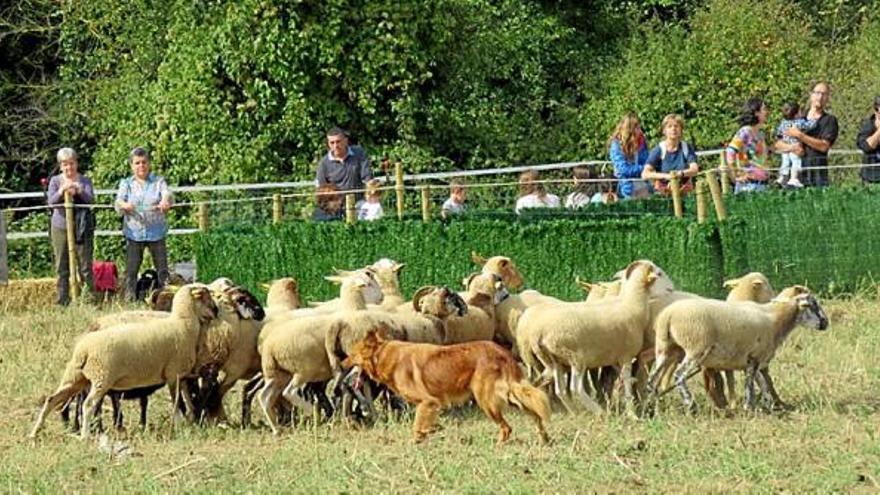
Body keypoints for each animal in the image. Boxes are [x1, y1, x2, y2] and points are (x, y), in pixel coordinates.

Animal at [31, 284, 218, 440]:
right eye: (205, 297)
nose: (216, 311)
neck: (182, 323)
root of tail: (84, 349)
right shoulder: (174, 373)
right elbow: (177, 402)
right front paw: (180, 426)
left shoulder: (180, 375)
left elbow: (184, 400)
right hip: (102, 377)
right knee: (88, 404)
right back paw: (85, 436)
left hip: (75, 376)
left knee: (52, 399)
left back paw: (35, 432)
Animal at [344, 332, 552, 444]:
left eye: (352, 354)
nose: (342, 363)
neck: (384, 355)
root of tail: (502, 351)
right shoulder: (432, 405)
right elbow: (428, 425)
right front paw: (433, 430)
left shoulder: (427, 402)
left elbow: (417, 426)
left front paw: (416, 441)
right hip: (509, 396)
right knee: (535, 414)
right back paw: (544, 439)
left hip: (486, 400)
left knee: (507, 427)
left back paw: (499, 445)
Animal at [516, 262, 668, 416]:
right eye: (659, 274)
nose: (671, 287)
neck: (631, 304)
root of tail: (538, 334)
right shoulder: (626, 355)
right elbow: (626, 382)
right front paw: (632, 413)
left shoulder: (615, 360)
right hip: (575, 357)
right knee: (575, 388)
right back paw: (599, 411)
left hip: (554, 360)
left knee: (560, 389)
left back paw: (574, 412)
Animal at [644, 286, 828, 414]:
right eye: (813, 305)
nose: (826, 323)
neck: (776, 319)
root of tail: (667, 316)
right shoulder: (754, 357)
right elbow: (750, 385)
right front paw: (749, 407)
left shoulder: (754, 361)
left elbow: (762, 384)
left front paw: (768, 405)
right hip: (695, 349)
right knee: (679, 375)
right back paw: (690, 405)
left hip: (665, 349)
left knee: (652, 380)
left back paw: (650, 406)